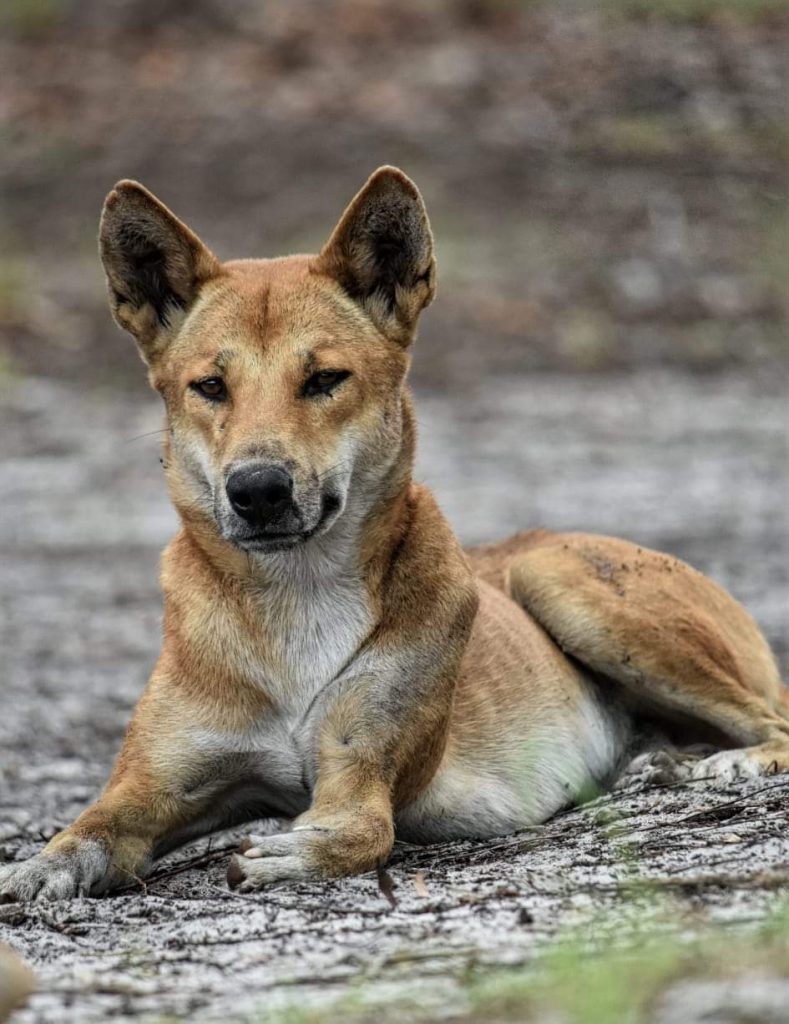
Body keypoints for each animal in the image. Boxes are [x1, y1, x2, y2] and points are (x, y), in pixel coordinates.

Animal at [1, 163, 789, 901]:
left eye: (324, 379)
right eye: (210, 387)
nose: (257, 490)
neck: (295, 596)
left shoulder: (362, 769)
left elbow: (360, 830)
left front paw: (289, 853)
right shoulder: (156, 783)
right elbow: (86, 829)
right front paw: (36, 871)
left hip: (564, 583)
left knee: (773, 722)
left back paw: (730, 762)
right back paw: (659, 764)